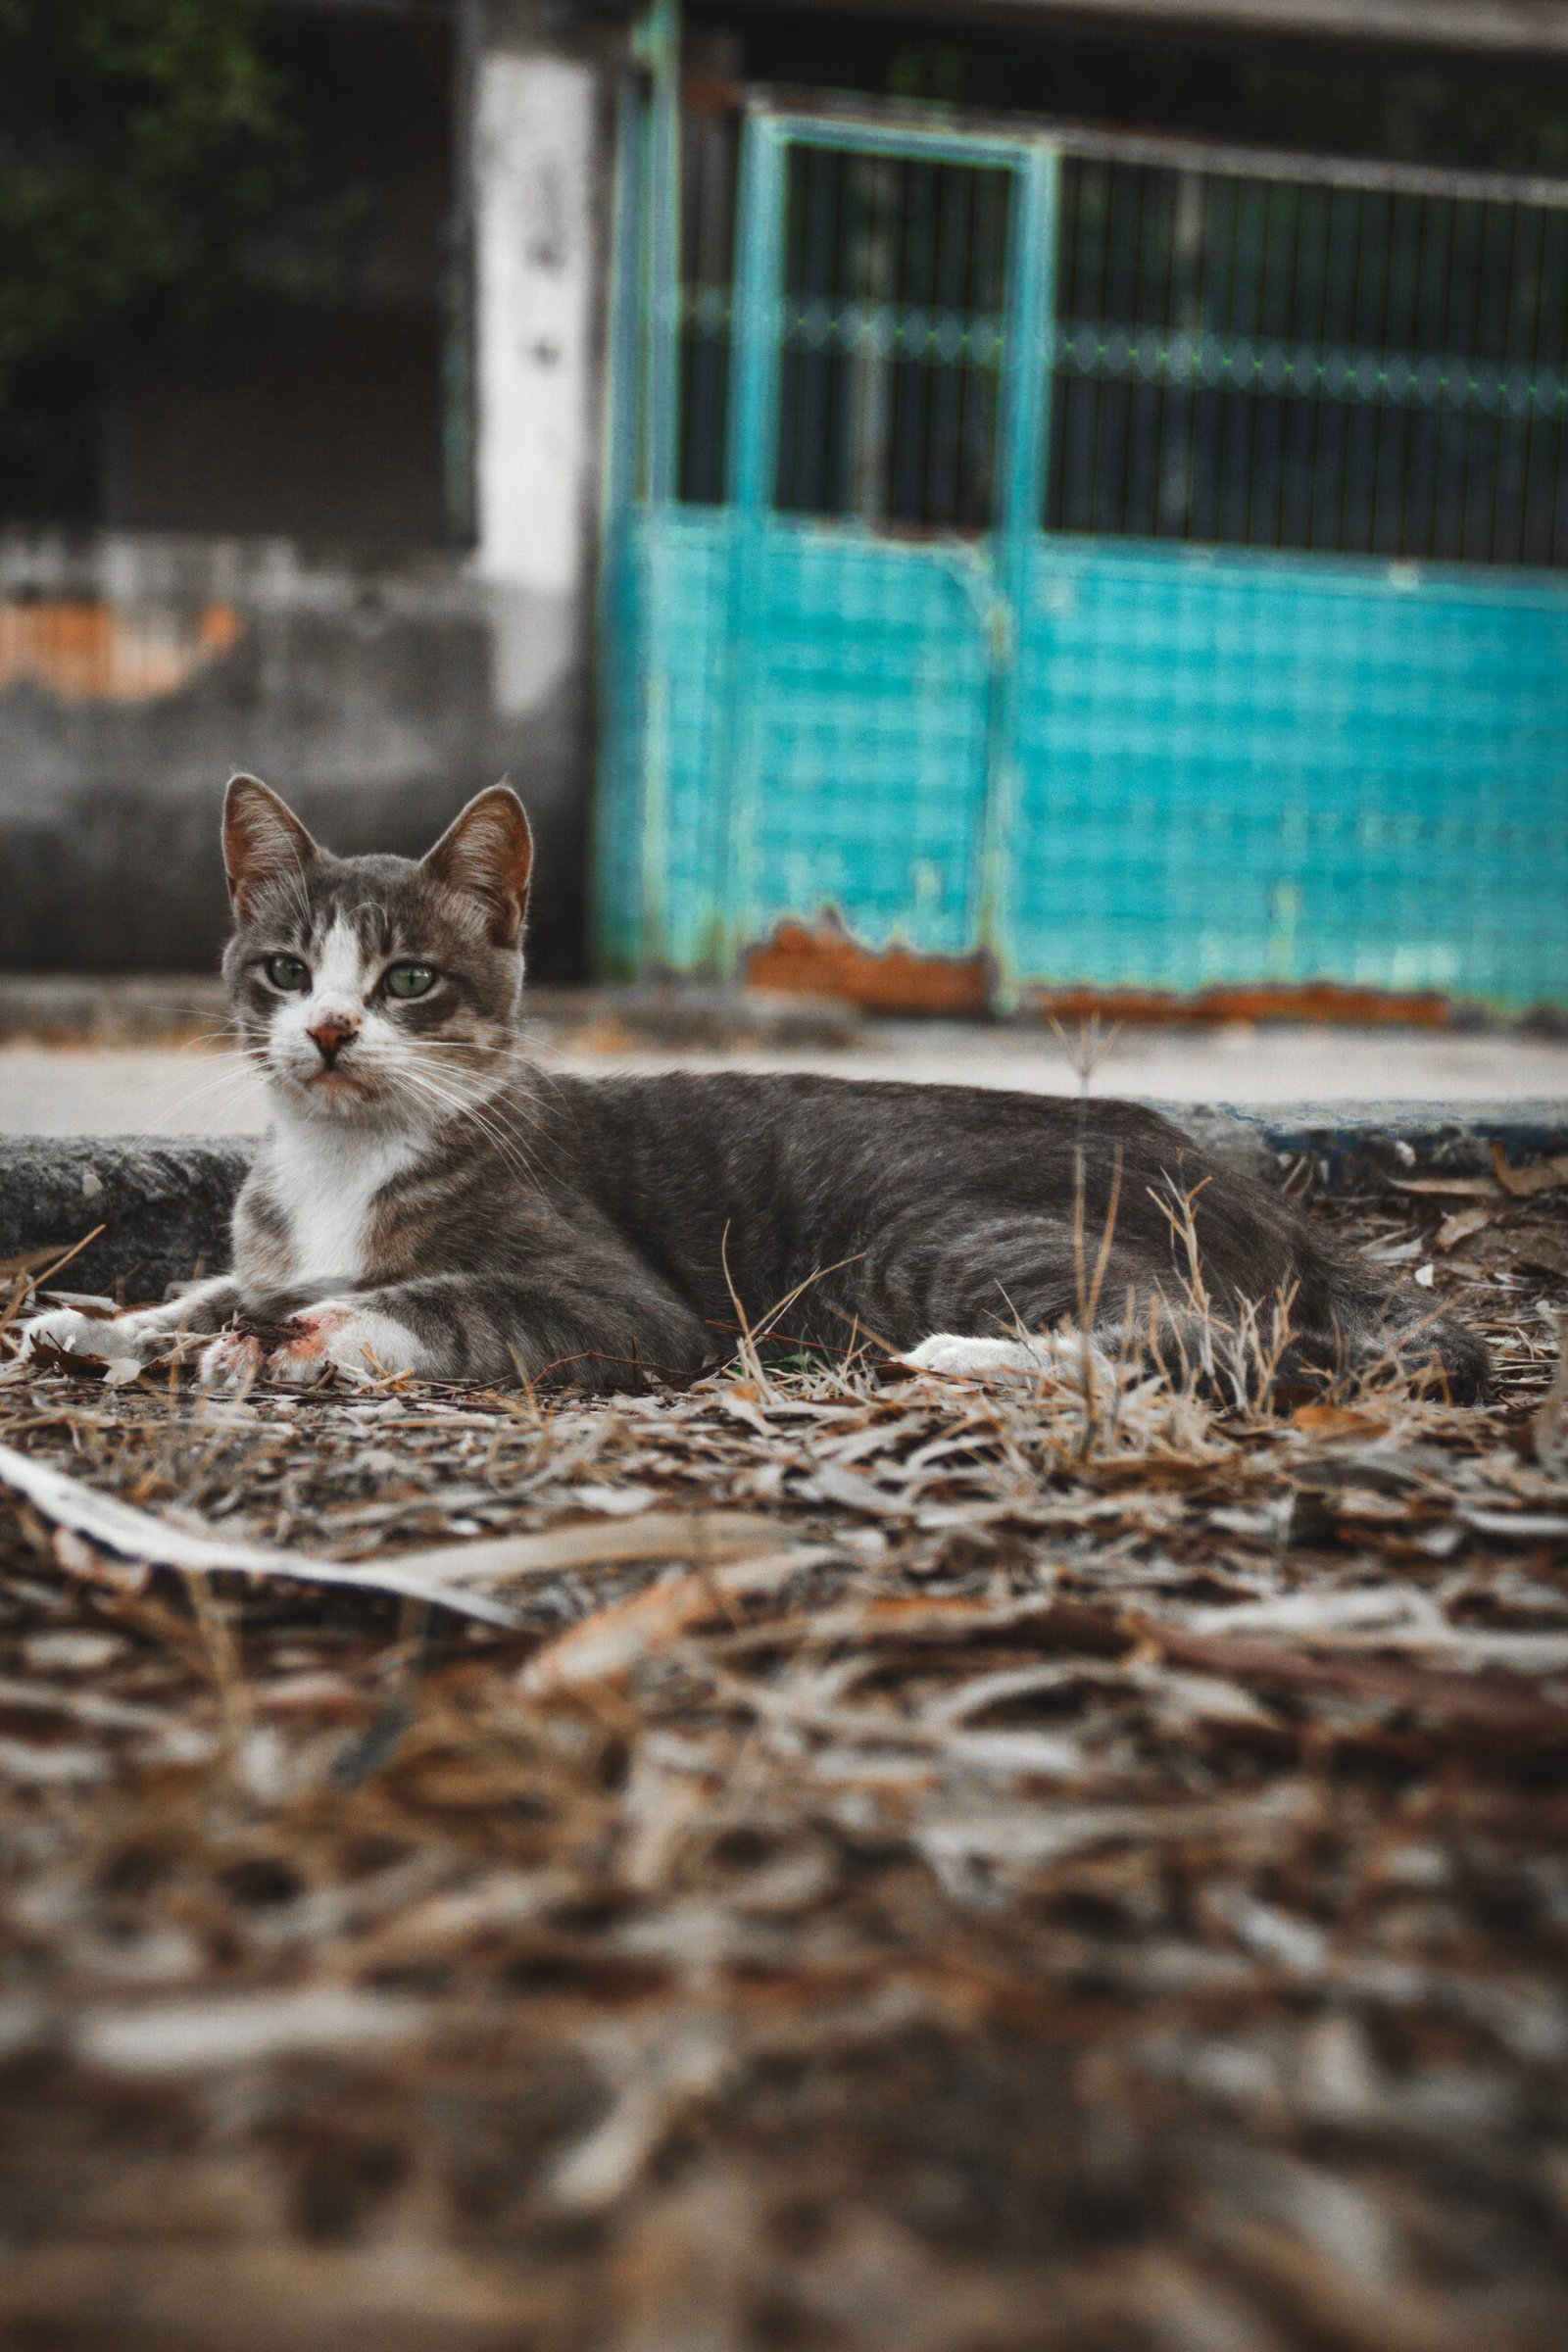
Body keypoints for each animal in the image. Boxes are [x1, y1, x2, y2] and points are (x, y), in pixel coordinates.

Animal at [24, 771, 1494, 1401]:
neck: (339, 1160)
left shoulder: (619, 1301)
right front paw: (102, 1321)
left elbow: (441, 1300)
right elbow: (217, 1284)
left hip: (939, 1238)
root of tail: (1266, 1199)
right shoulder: (266, 1242)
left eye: (409, 984)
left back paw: (969, 1360)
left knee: (1217, 1342)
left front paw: (317, 1329)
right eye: (285, 970)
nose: (328, 1032)